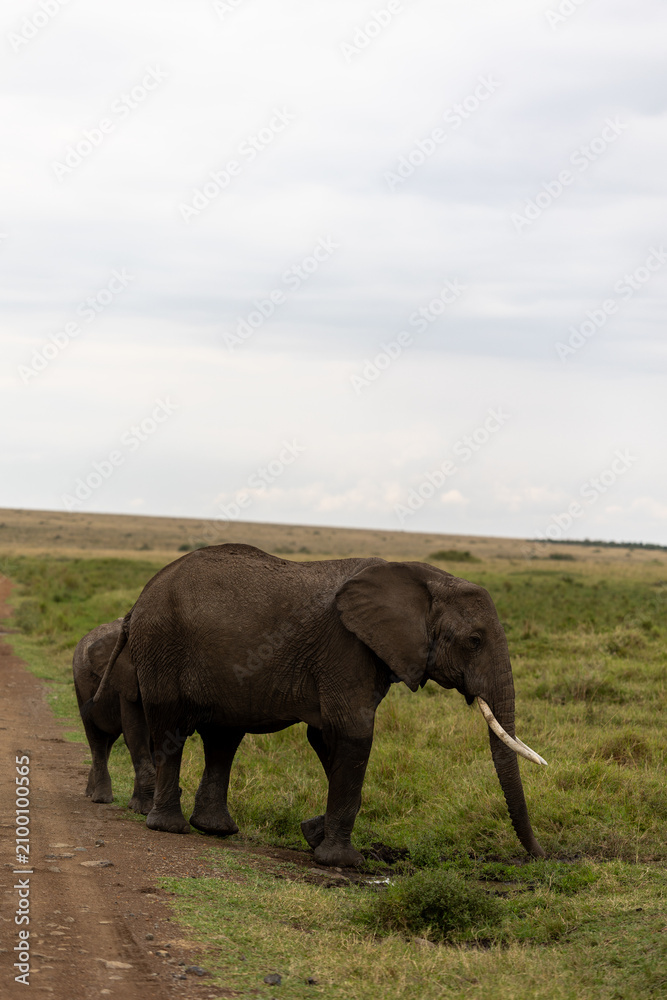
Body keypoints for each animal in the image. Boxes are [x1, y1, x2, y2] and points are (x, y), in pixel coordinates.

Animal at [74, 618, 155, 813]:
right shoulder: (128, 681)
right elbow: (135, 731)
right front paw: (144, 810)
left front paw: (138, 807)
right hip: (81, 688)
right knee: (96, 738)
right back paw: (101, 799)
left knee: (108, 740)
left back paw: (91, 793)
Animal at [94, 544, 547, 867]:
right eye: (474, 641)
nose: (541, 859)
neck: (424, 578)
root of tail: (137, 602)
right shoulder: (346, 649)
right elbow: (354, 733)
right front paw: (342, 861)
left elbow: (327, 737)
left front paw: (313, 834)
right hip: (161, 647)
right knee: (172, 729)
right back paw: (169, 828)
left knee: (222, 739)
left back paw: (216, 830)